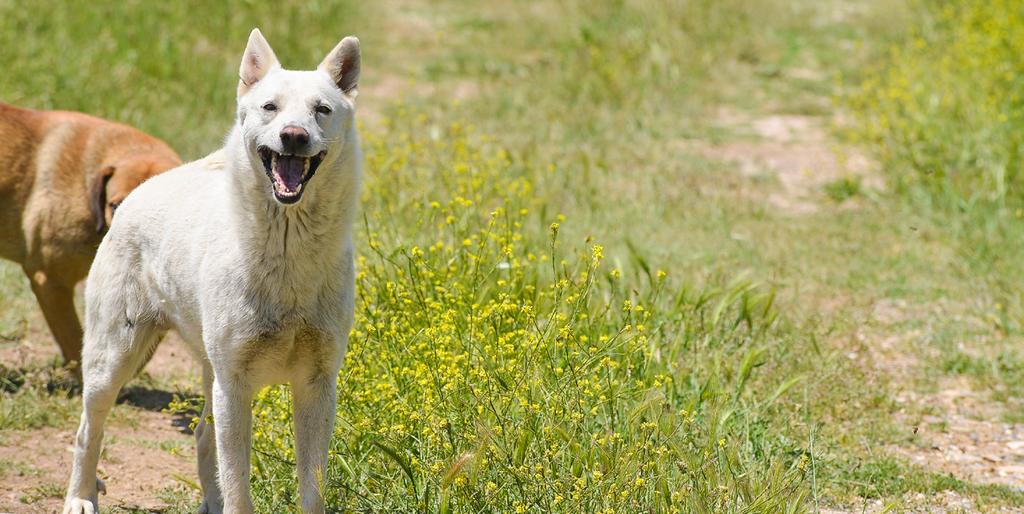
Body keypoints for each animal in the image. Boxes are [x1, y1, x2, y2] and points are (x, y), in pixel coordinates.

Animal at [62, 29, 360, 514]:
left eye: (322, 109)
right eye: (270, 107)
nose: (293, 136)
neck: (287, 252)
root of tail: (140, 192)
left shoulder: (317, 387)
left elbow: (310, 487)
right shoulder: (234, 386)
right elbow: (239, 485)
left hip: (206, 375)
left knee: (203, 434)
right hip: (113, 363)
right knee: (88, 431)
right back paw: (80, 497)